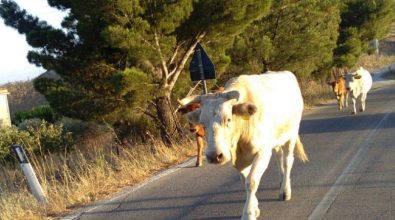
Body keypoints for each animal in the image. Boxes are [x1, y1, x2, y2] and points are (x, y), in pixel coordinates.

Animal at [180, 71, 310, 219]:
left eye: (228, 119)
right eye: (203, 123)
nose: (214, 156)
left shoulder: (262, 153)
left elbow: (251, 181)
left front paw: (248, 214)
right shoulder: (239, 160)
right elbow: (245, 180)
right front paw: (255, 208)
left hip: (292, 134)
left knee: (287, 161)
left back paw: (285, 191)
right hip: (276, 139)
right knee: (279, 158)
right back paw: (281, 181)